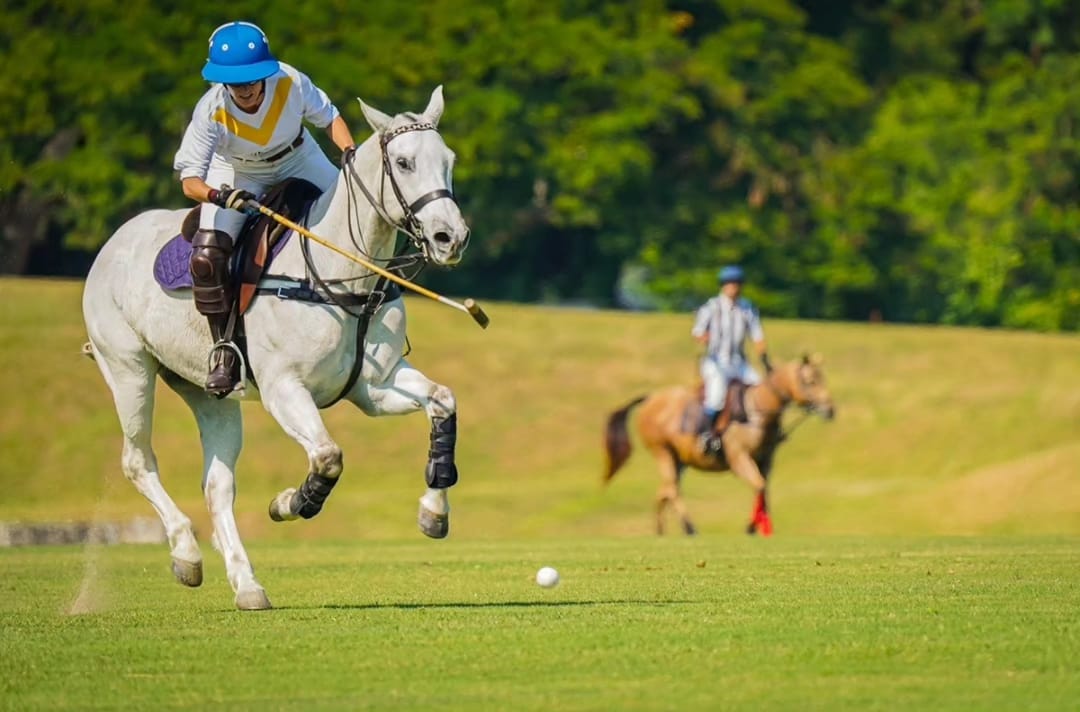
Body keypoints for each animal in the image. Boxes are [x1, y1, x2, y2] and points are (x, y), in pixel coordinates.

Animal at [82, 86, 470, 609]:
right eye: (405, 163)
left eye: (448, 160)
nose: (451, 238)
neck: (344, 274)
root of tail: (113, 242)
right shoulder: (284, 387)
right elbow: (327, 456)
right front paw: (289, 503)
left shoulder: (376, 385)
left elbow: (444, 401)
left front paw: (433, 512)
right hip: (128, 369)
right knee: (138, 461)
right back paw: (186, 554)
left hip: (209, 393)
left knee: (217, 485)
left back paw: (246, 585)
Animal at [609, 354, 833, 538]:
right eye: (810, 381)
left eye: (822, 378)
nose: (830, 410)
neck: (757, 411)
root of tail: (649, 398)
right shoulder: (739, 457)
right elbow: (759, 485)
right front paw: (752, 526)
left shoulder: (766, 459)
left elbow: (763, 489)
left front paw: (760, 526)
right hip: (662, 451)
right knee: (672, 489)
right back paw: (689, 527)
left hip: (680, 459)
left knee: (663, 491)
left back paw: (660, 531)